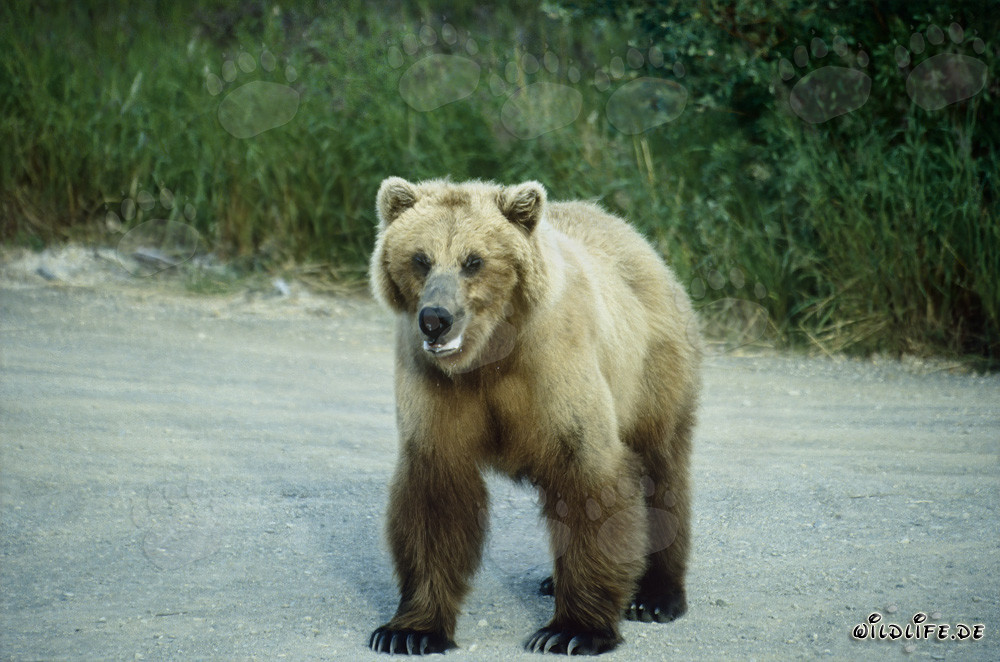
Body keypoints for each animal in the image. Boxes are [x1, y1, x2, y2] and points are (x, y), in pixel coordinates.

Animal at [367, 177, 701, 655]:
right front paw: (409, 631)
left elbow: (590, 482)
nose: (435, 319)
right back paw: (551, 580)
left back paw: (656, 596)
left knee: (662, 468)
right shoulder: (437, 391)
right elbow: (434, 496)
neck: (489, 357)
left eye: (474, 261)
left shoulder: (555, 372)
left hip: (652, 372)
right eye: (420, 258)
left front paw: (571, 631)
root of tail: (637, 237)